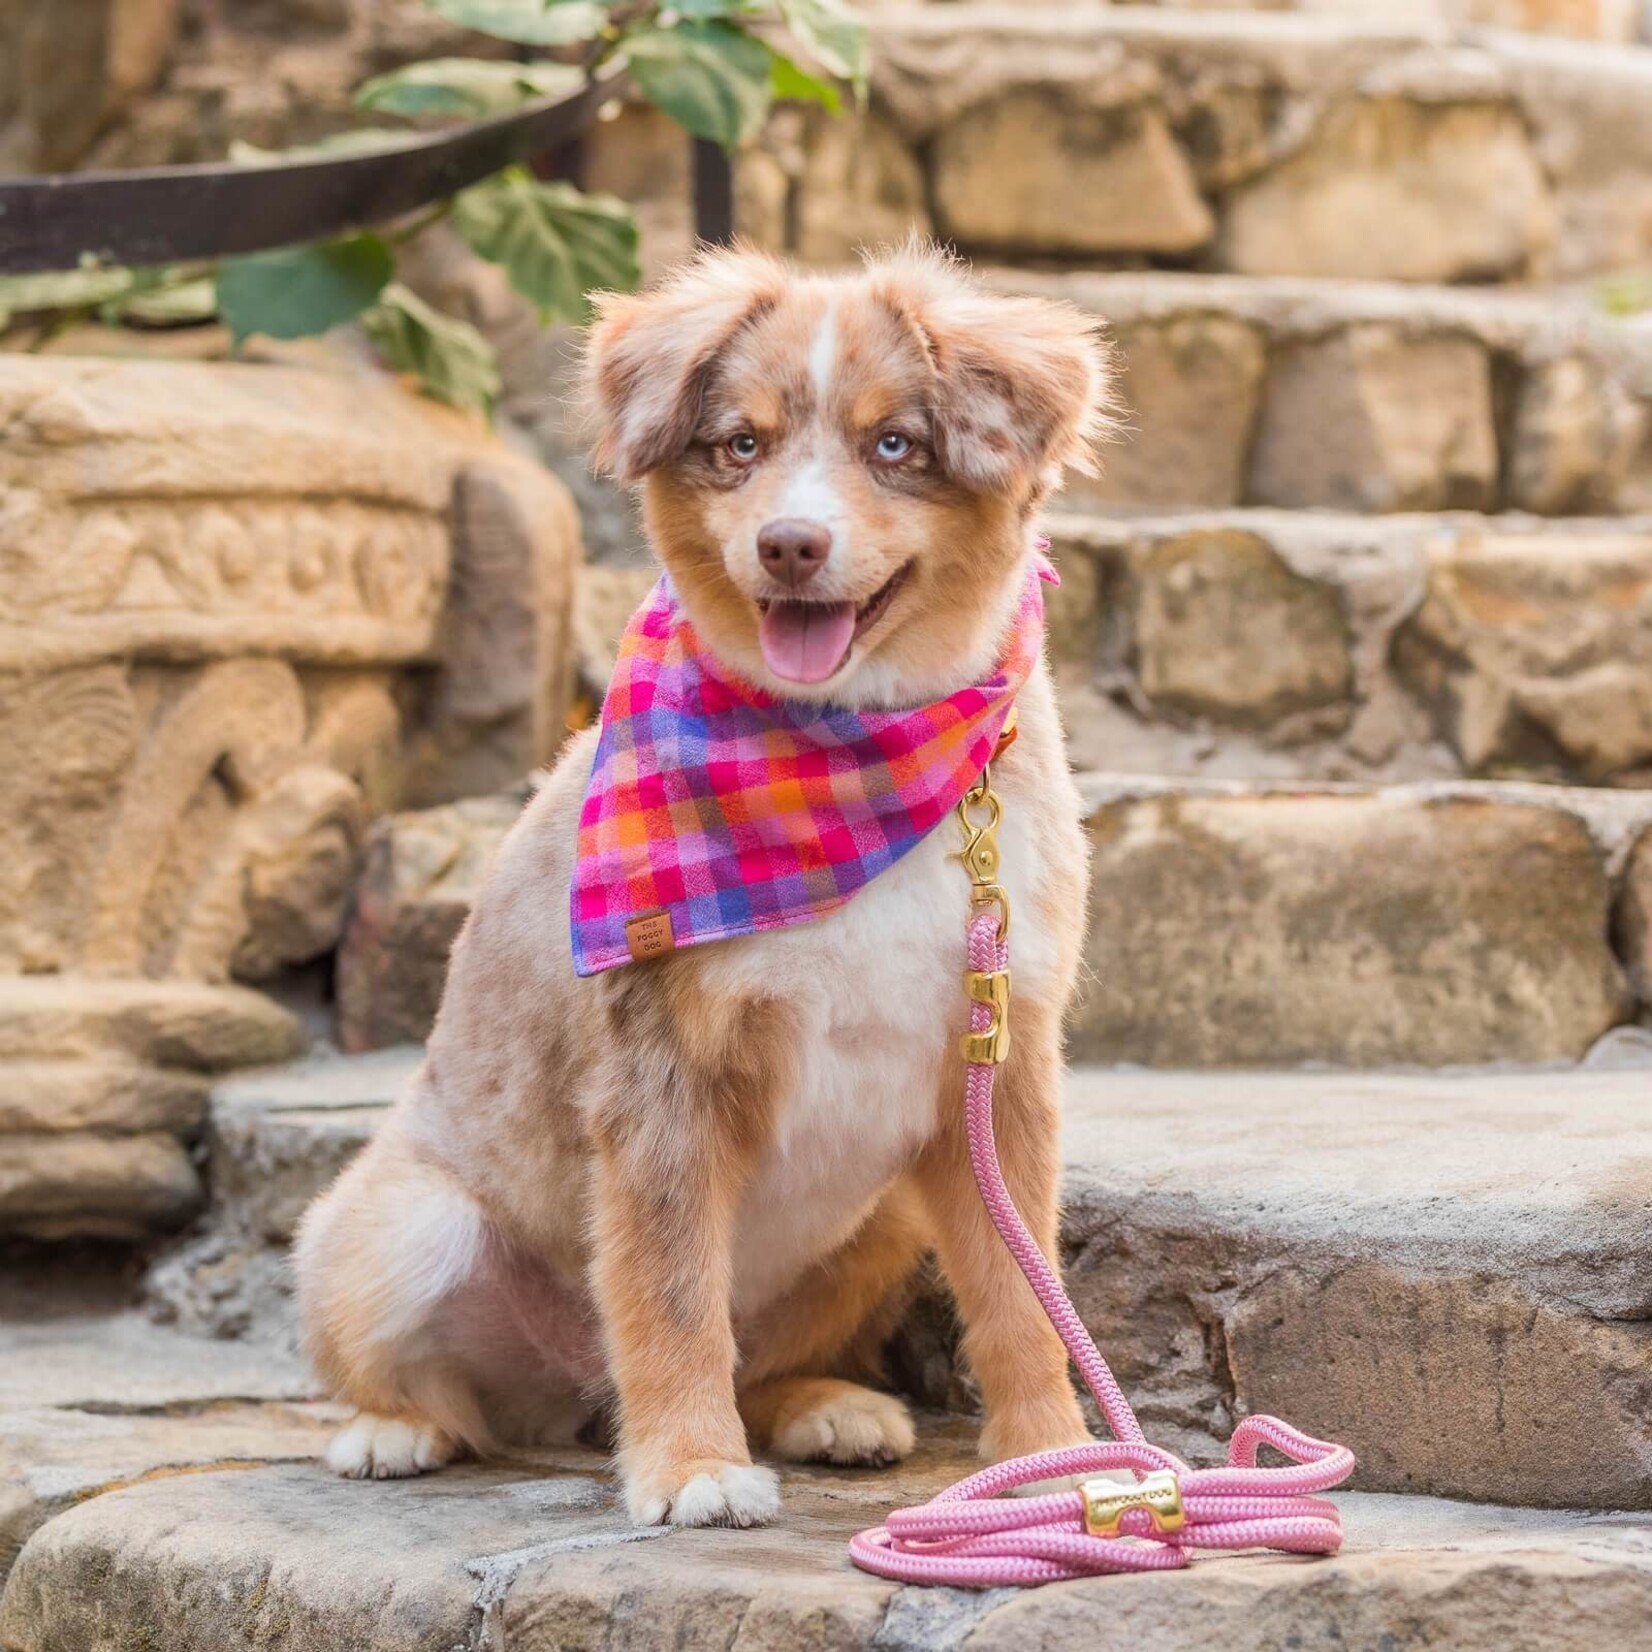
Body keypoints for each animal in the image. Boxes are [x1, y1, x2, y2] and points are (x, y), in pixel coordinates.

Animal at [295, 241, 1116, 1519]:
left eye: (895, 444)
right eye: (739, 443)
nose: (789, 544)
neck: (850, 750)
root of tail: (575, 1399)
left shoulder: (998, 1060)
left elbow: (1022, 1290)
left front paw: (1056, 1454)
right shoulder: (664, 1066)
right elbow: (670, 1286)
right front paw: (688, 1465)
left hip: (882, 1216)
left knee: (762, 1353)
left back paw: (822, 1407)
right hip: (404, 1226)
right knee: (446, 1382)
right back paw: (395, 1429)